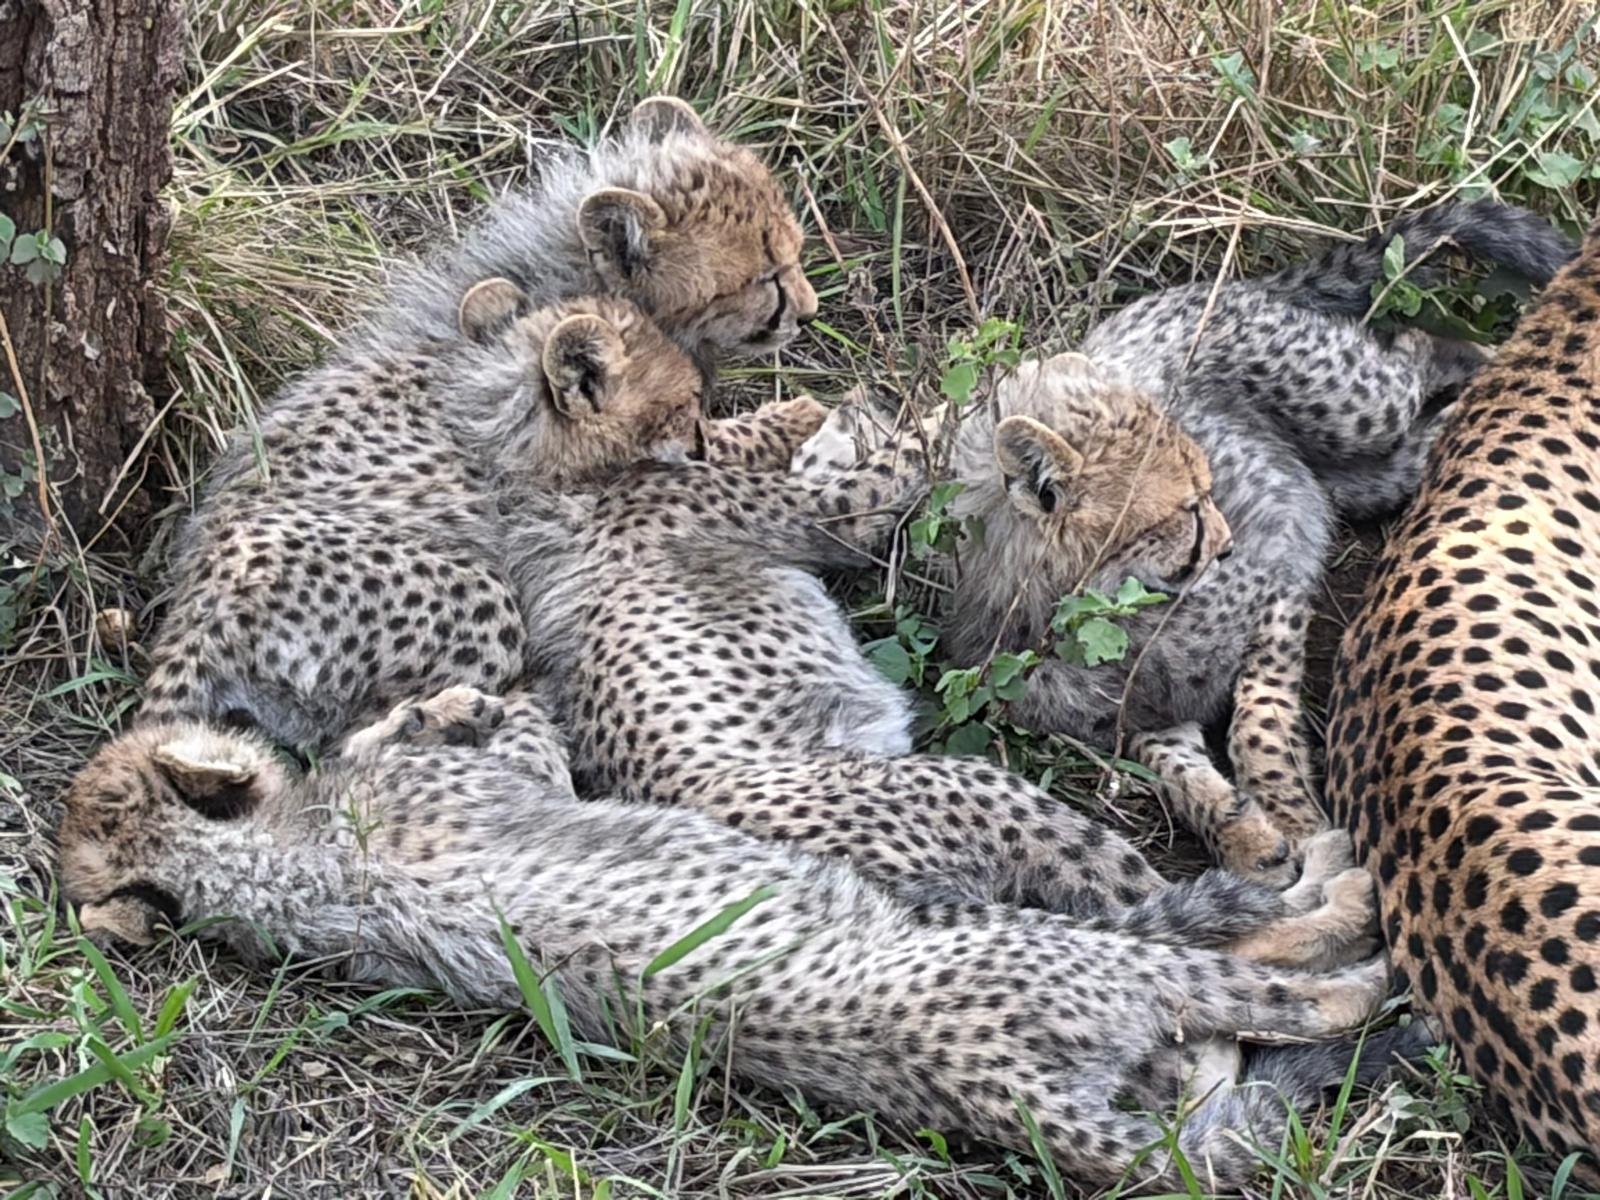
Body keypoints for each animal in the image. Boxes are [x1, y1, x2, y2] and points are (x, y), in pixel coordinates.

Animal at [57, 682, 1424, 1192]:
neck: (246, 875)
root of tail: (991, 1096)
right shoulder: (523, 783)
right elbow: (516, 736)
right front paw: (447, 702)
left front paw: (420, 706)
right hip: (1077, 943)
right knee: (1262, 975)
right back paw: (1355, 912)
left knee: (1220, 1058)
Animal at [942, 200, 1577, 886]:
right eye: (1189, 509)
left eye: (1207, 489)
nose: (1224, 546)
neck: (1099, 613)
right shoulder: (1144, 712)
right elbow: (1176, 769)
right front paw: (1244, 835)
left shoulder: (1280, 571)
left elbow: (1257, 717)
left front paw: (1291, 813)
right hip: (1364, 478)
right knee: (1424, 434)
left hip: (1357, 407)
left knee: (1413, 346)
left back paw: (1506, 364)